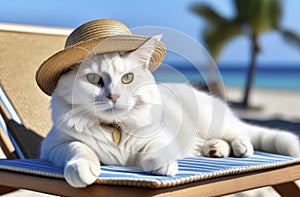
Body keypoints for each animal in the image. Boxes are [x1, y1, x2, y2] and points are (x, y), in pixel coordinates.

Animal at [40, 35, 300, 188]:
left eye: (127, 78)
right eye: (94, 79)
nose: (113, 96)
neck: (115, 128)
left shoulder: (160, 136)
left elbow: (157, 148)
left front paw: (163, 165)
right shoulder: (53, 145)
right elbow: (78, 147)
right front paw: (82, 169)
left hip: (215, 121)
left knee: (240, 133)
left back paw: (239, 148)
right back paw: (215, 150)